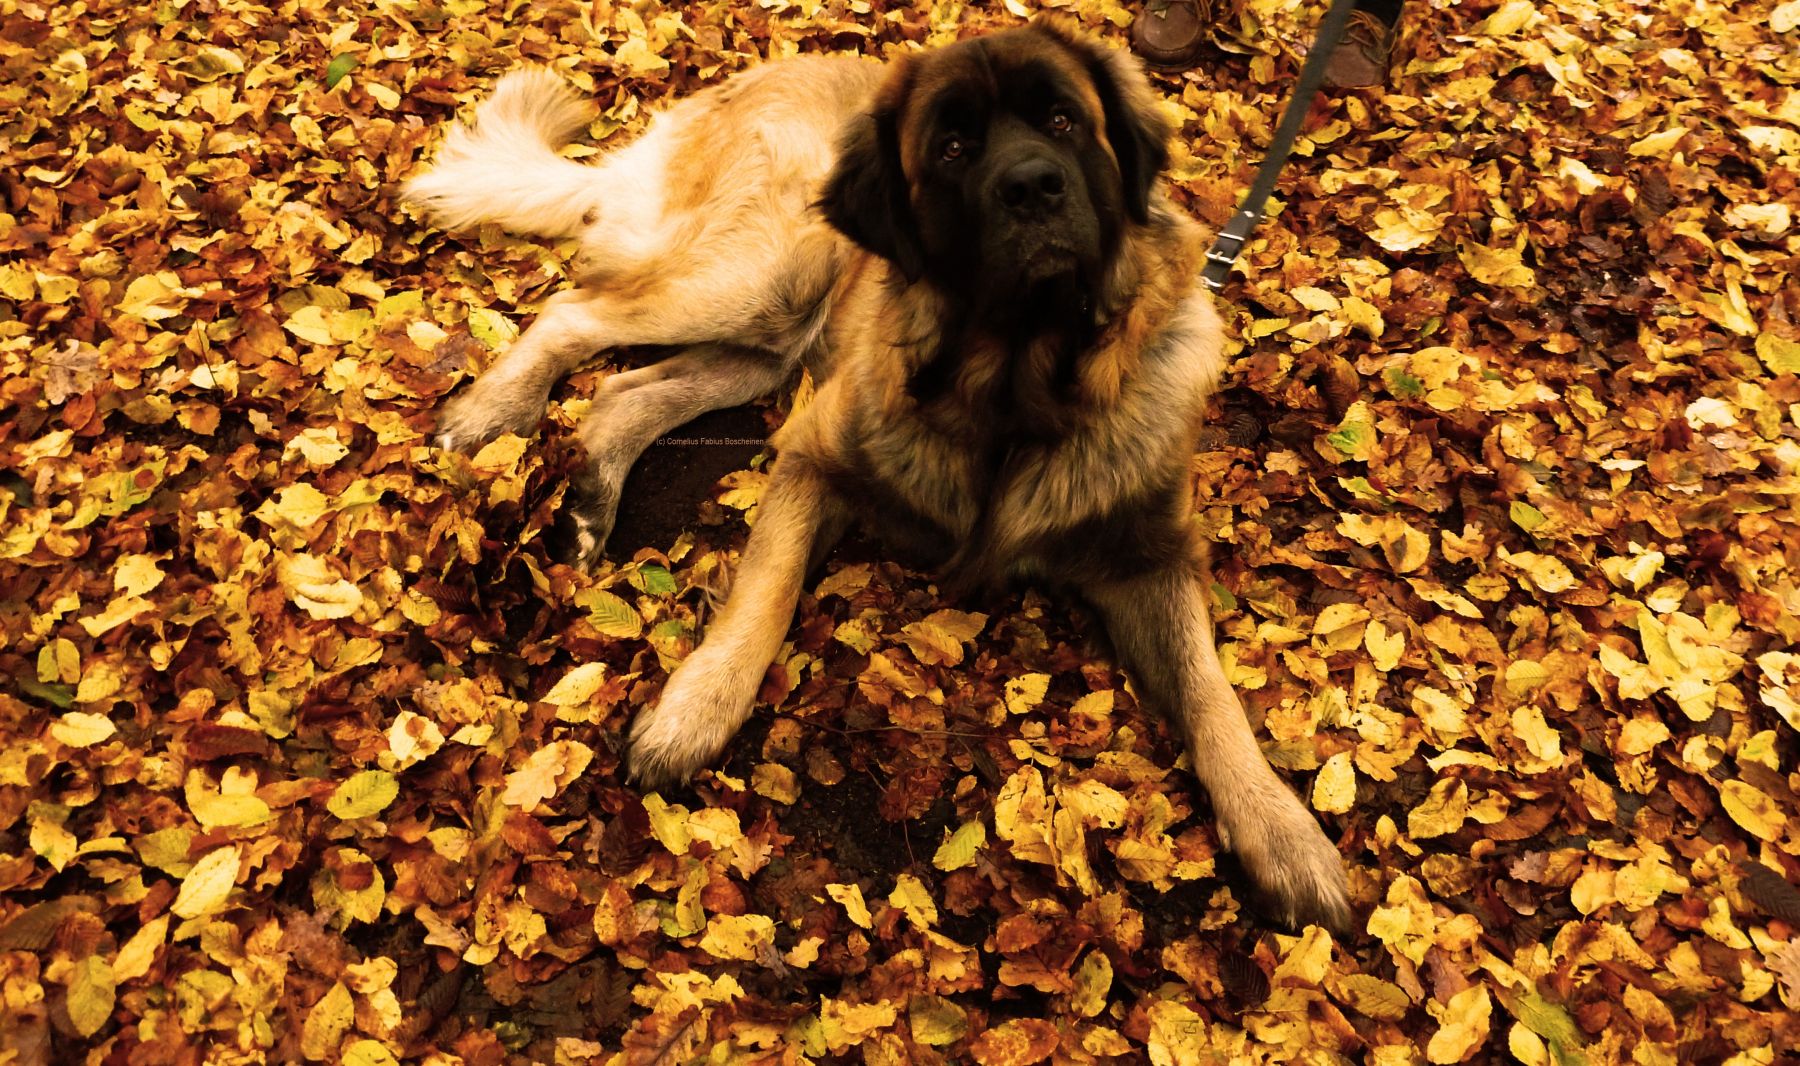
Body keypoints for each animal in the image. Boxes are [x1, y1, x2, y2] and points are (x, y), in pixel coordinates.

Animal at [397, 18, 1353, 936]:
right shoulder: (814, 455)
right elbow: (766, 592)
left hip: (771, 337)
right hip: (764, 278)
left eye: (1062, 122)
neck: (1012, 391)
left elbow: (1209, 691)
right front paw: (693, 713)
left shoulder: (1152, 557)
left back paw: (588, 506)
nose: (1033, 189)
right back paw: (493, 413)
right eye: (953, 148)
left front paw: (1284, 834)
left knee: (623, 392)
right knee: (574, 314)